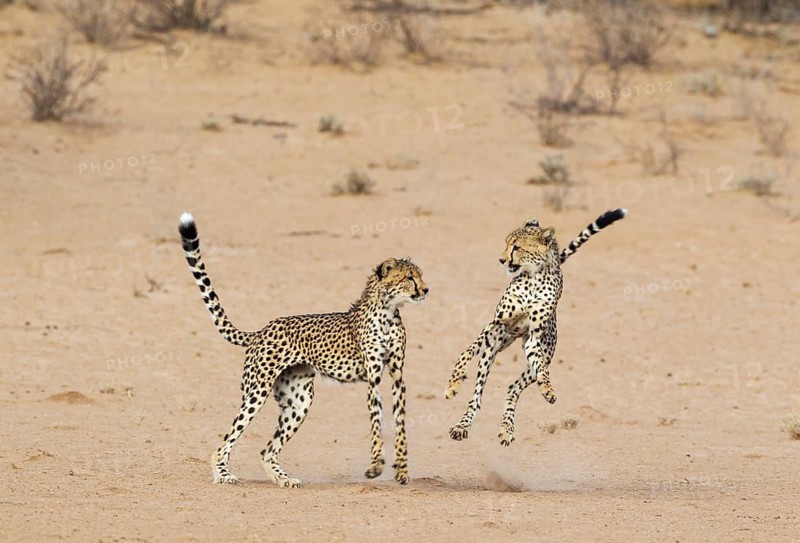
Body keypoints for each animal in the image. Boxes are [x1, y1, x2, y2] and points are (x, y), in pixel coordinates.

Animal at [178, 212, 428, 488]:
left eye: (419, 276)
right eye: (409, 278)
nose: (425, 290)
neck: (388, 312)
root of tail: (262, 329)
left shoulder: (397, 377)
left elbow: (400, 422)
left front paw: (402, 468)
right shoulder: (374, 377)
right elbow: (376, 421)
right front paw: (376, 465)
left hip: (299, 401)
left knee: (266, 450)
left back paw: (283, 479)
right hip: (257, 391)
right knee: (226, 442)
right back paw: (223, 474)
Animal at [445, 208, 627, 446]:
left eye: (517, 247)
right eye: (506, 243)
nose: (501, 260)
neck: (533, 277)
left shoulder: (534, 340)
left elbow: (542, 370)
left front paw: (548, 390)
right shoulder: (495, 325)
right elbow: (465, 353)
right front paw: (452, 385)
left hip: (538, 357)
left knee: (514, 388)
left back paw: (507, 429)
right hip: (492, 348)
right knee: (477, 395)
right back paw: (462, 425)